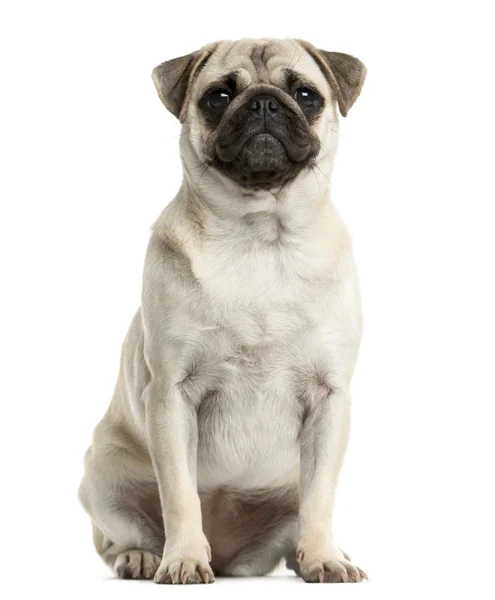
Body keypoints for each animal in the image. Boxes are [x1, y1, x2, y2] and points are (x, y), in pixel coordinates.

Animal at [79, 35, 366, 584]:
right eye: (218, 97)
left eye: (306, 94)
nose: (263, 102)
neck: (259, 237)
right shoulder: (171, 396)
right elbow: (179, 497)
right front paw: (184, 558)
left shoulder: (330, 399)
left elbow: (321, 497)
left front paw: (323, 557)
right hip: (102, 475)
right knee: (120, 536)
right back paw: (144, 557)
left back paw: (308, 556)